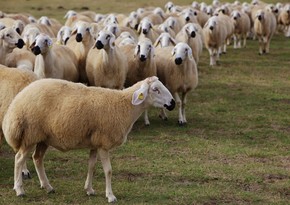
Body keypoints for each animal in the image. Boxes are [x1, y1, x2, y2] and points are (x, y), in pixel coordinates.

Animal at [2, 75, 174, 202]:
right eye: (155, 89)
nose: (172, 103)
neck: (125, 106)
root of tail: (17, 100)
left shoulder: (95, 143)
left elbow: (91, 166)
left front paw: (89, 189)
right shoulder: (104, 143)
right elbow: (108, 170)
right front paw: (110, 196)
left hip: (44, 137)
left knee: (37, 158)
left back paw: (47, 186)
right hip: (30, 134)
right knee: (19, 158)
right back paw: (19, 190)